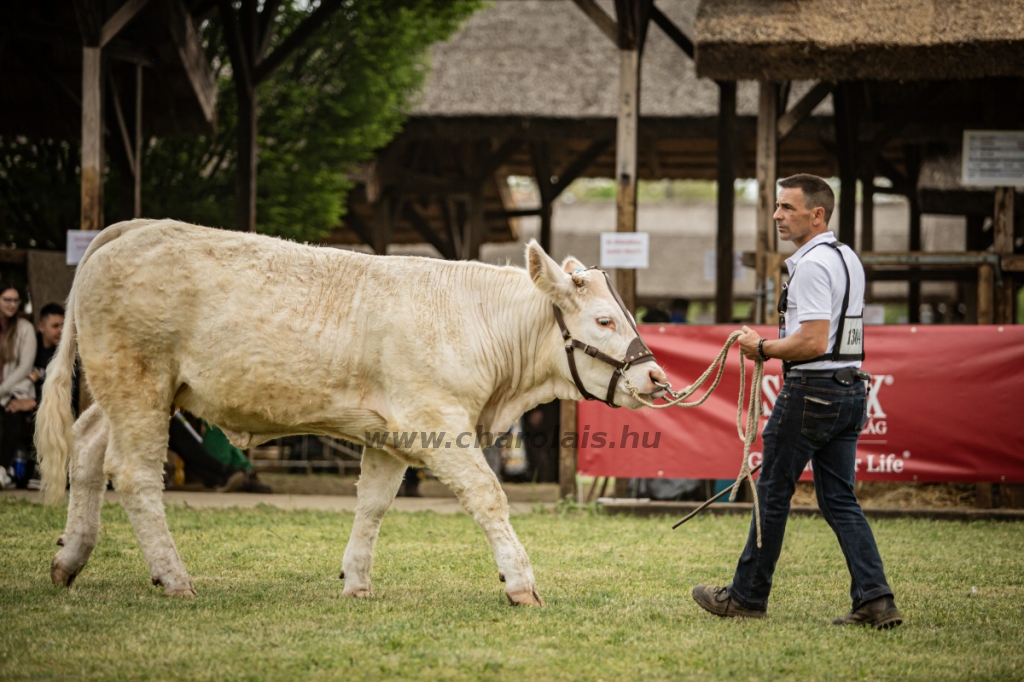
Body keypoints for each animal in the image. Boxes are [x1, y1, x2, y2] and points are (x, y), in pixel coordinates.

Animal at [36, 216, 667, 602]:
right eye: (604, 320)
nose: (657, 376)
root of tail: (138, 227)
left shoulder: (388, 436)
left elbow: (373, 505)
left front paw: (356, 580)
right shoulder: (436, 422)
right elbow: (488, 495)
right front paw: (520, 583)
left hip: (128, 392)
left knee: (88, 451)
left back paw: (70, 558)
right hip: (139, 382)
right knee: (134, 475)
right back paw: (173, 577)